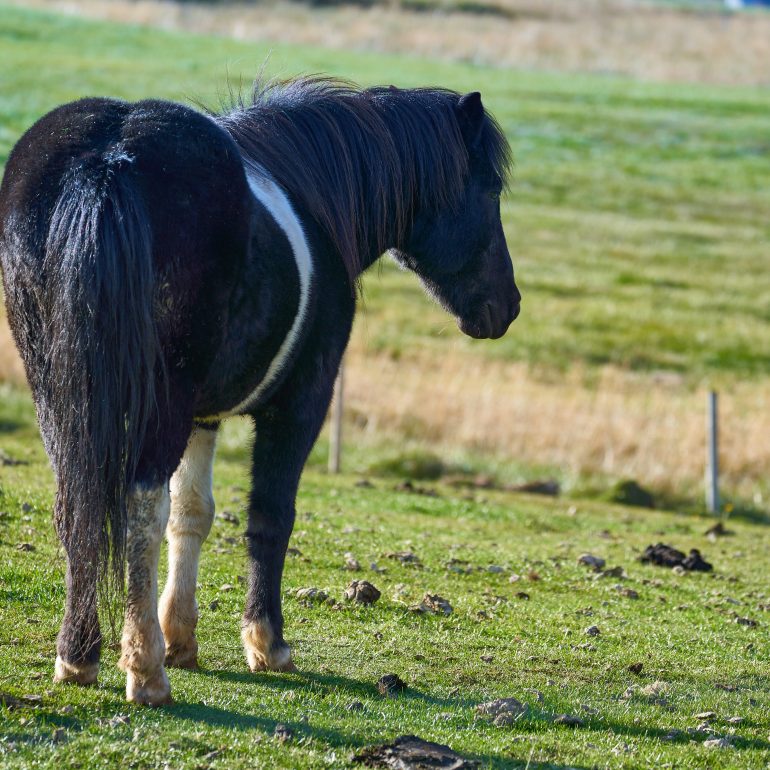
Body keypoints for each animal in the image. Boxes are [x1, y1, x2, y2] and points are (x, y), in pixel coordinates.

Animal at [0, 76, 520, 705]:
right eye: (488, 189)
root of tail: (109, 160)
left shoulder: (203, 415)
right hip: (158, 403)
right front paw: (266, 643)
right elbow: (270, 515)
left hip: (59, 395)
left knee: (75, 502)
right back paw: (145, 670)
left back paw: (78, 656)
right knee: (138, 506)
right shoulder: (301, 402)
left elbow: (192, 514)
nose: (507, 306)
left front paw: (183, 638)